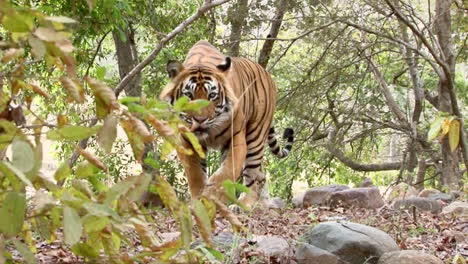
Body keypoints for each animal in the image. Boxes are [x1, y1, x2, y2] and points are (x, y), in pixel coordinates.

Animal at [161, 40, 292, 207]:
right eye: (189, 95)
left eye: (212, 95)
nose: (200, 120)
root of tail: (267, 74)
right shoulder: (187, 141)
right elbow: (195, 175)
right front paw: (199, 200)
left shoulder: (235, 139)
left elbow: (226, 172)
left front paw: (211, 196)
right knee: (261, 176)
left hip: (256, 135)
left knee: (253, 175)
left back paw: (243, 204)